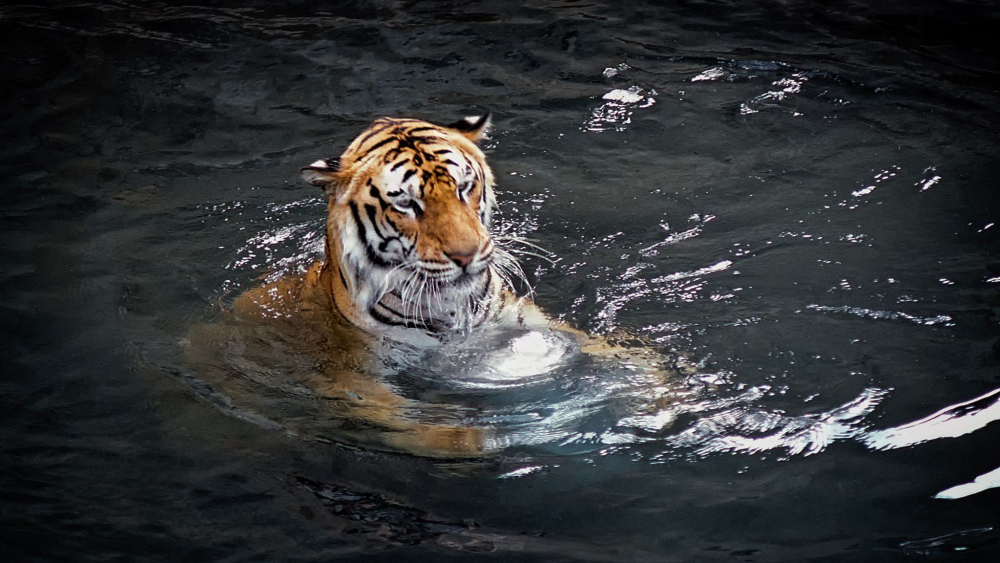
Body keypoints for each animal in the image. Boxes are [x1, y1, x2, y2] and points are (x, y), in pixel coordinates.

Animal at [191, 114, 676, 458]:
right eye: (407, 204)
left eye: (464, 187)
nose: (467, 254)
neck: (451, 307)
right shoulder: (357, 377)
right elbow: (439, 433)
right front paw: (490, 433)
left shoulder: (520, 320)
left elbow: (612, 351)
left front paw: (662, 392)